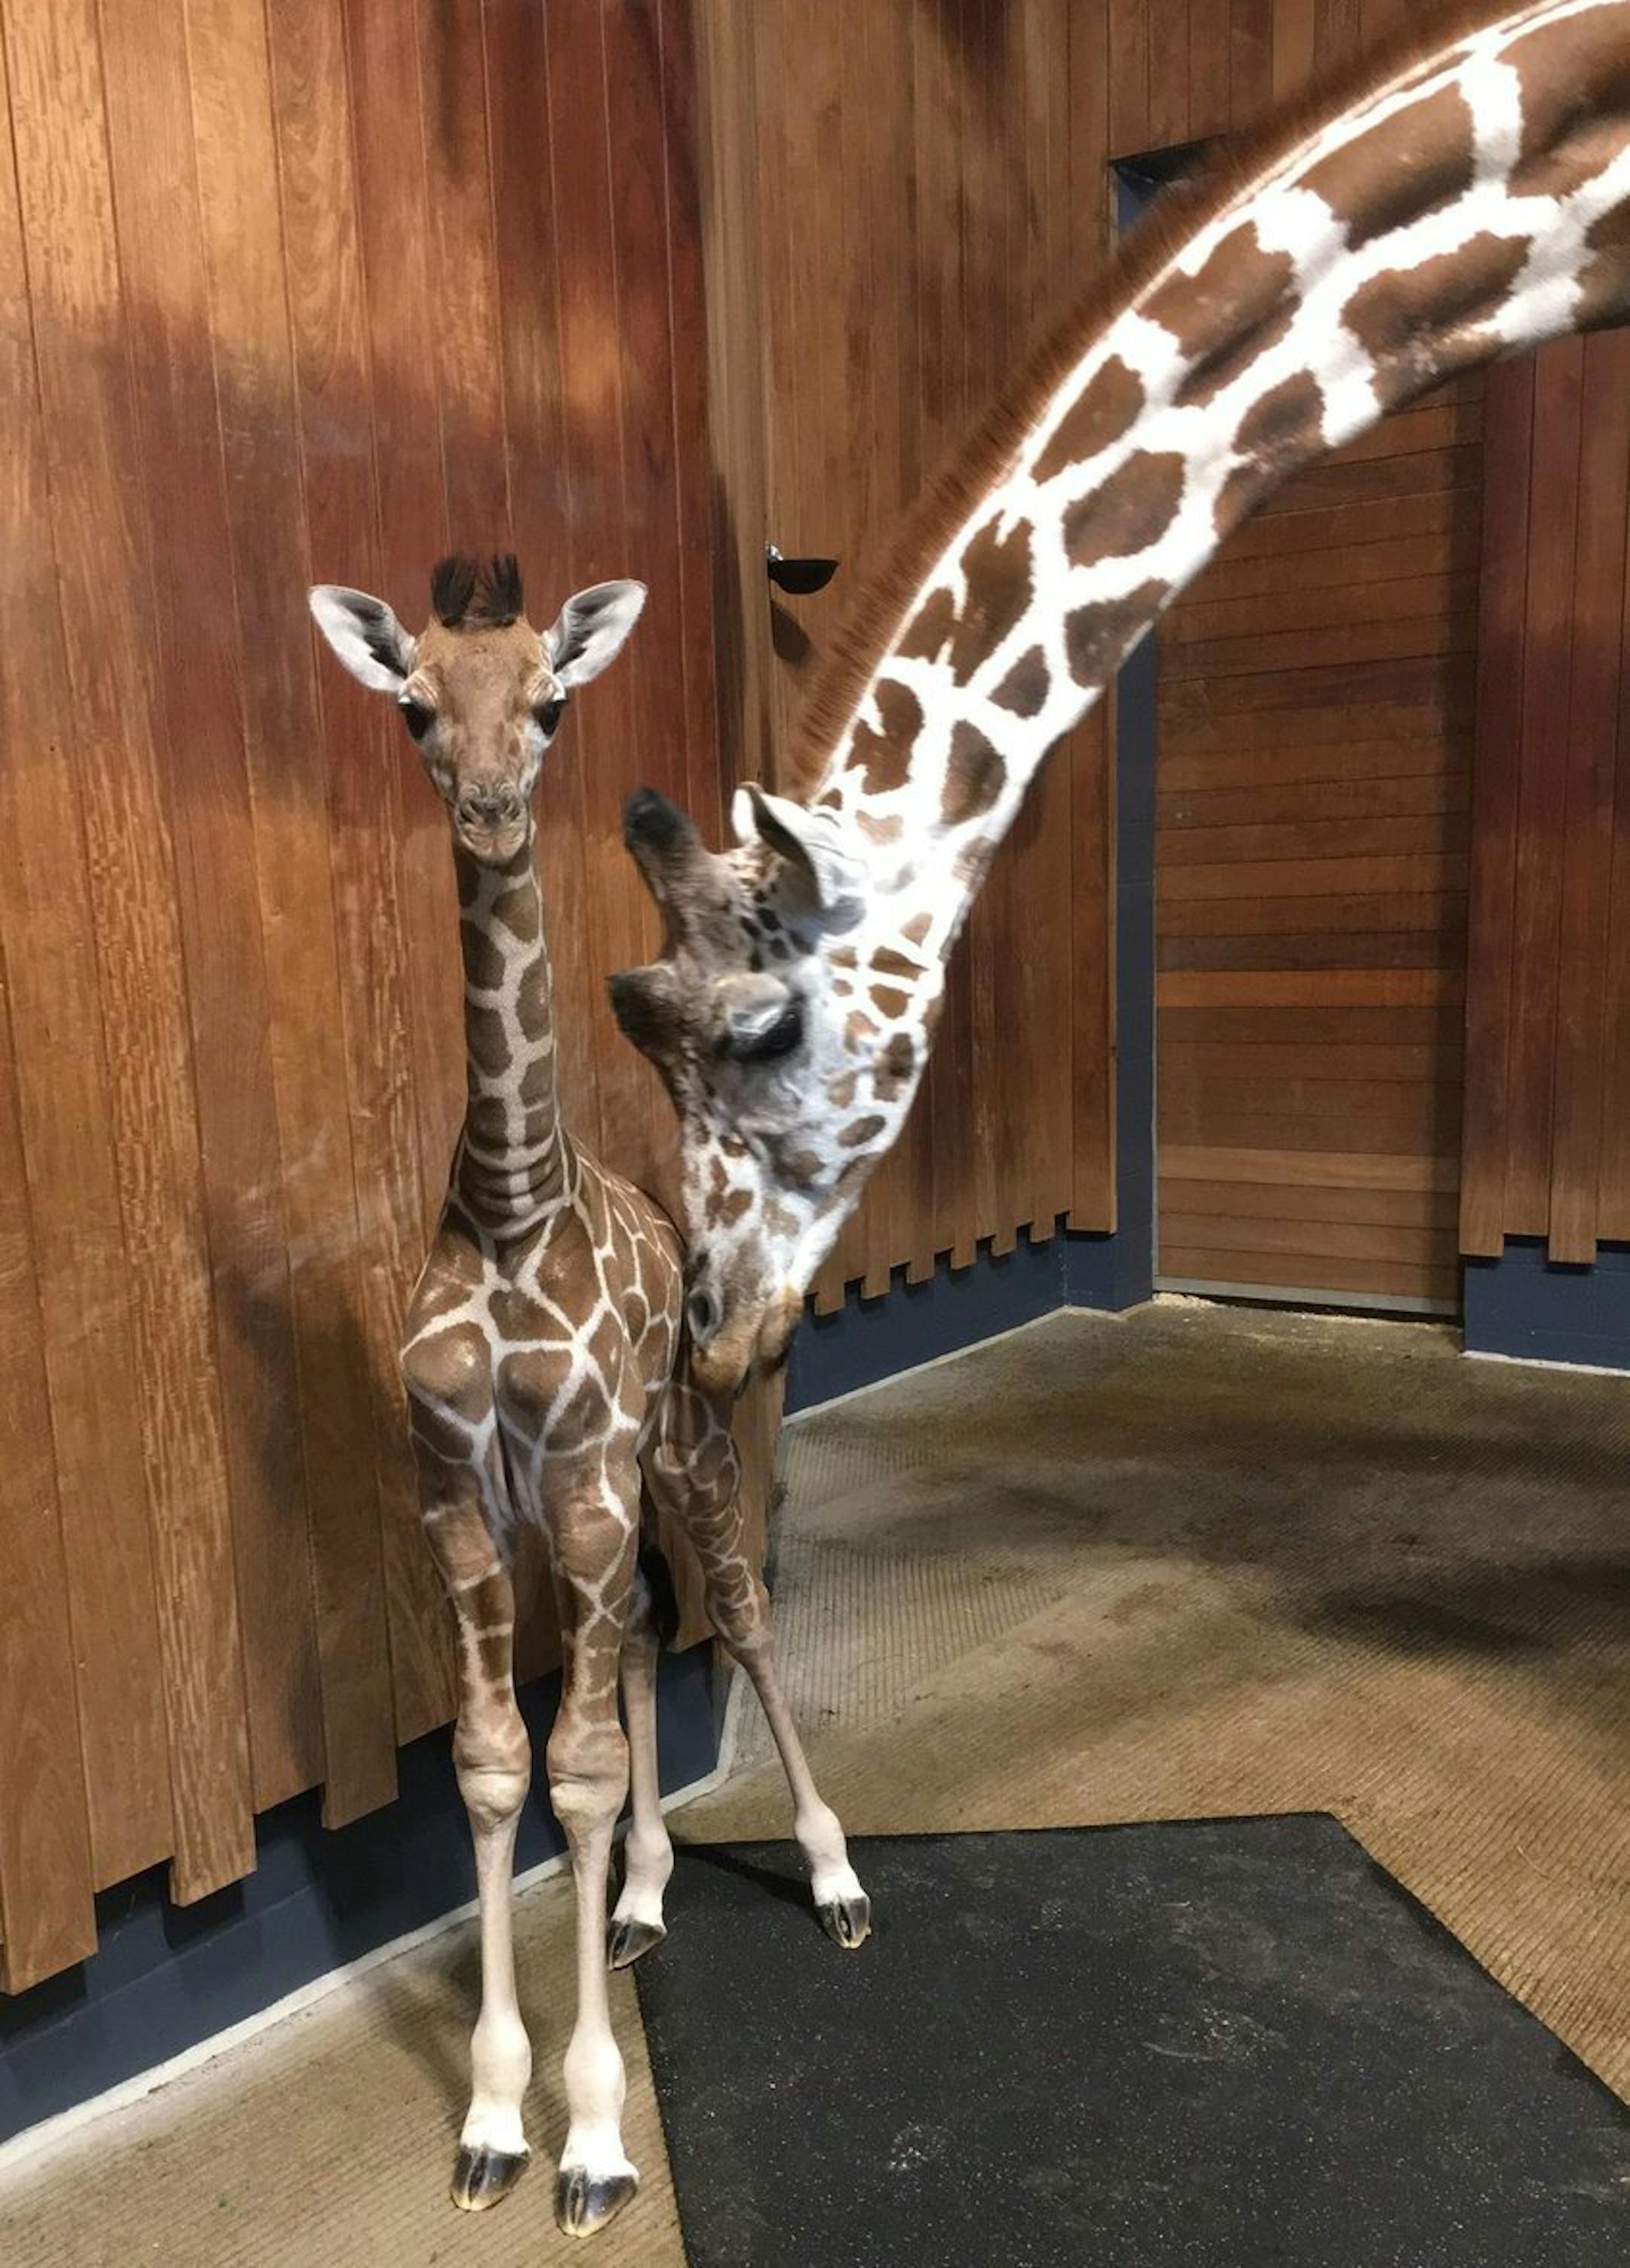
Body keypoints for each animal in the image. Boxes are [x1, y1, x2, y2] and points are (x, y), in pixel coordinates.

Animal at [308, 556, 868, 2240]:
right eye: (414, 704)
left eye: (551, 702)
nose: (493, 809)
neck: (507, 1211)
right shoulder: (463, 1506)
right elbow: (508, 1769)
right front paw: (498, 2117)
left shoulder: (592, 1484)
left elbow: (581, 1770)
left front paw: (599, 2135)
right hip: (595, 1522)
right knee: (624, 1672)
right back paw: (642, 1902)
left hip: (677, 1466)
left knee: (736, 1622)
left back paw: (834, 1880)